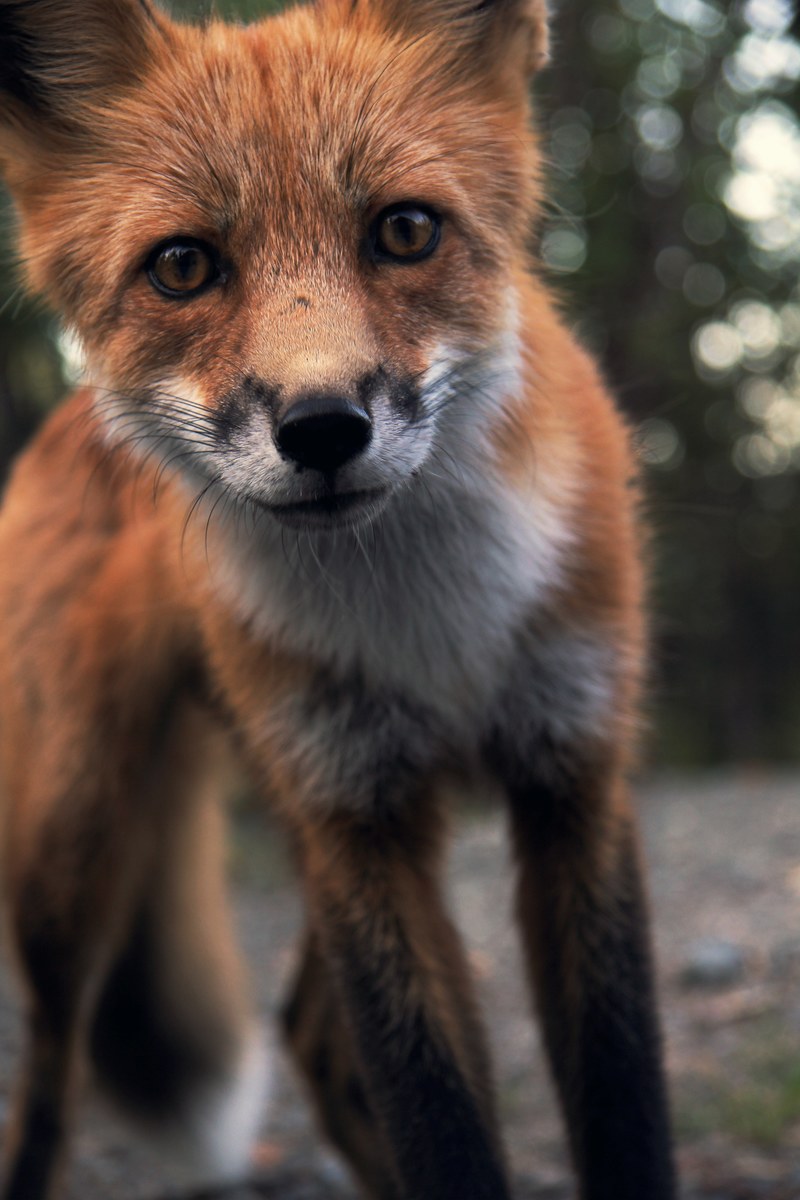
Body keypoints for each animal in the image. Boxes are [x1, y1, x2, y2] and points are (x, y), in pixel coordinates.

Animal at [0, 0, 676, 1198]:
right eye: (184, 266)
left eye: (404, 232)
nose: (321, 430)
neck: (427, 627)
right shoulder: (355, 811)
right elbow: (439, 1123)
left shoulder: (571, 776)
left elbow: (621, 1102)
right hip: (70, 858)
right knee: (48, 1090)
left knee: (310, 1035)